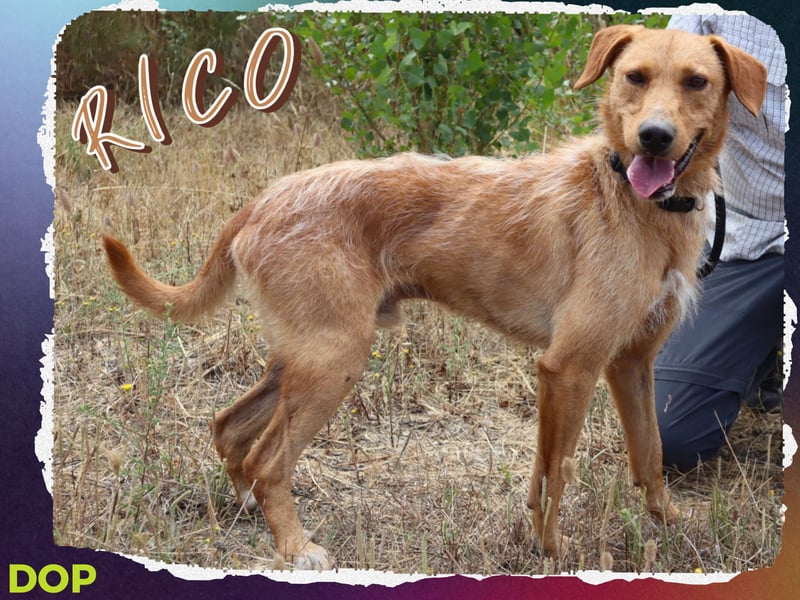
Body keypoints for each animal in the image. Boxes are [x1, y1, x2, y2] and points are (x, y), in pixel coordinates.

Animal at [101, 25, 766, 569]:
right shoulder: (569, 367)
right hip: (334, 360)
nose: (654, 138)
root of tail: (261, 202)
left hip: (302, 357)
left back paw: (251, 515)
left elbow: (648, 453)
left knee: (231, 433)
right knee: (267, 461)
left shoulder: (631, 361)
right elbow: (556, 475)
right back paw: (295, 545)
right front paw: (552, 552)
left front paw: (671, 526)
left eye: (697, 82)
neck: (633, 198)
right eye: (635, 77)